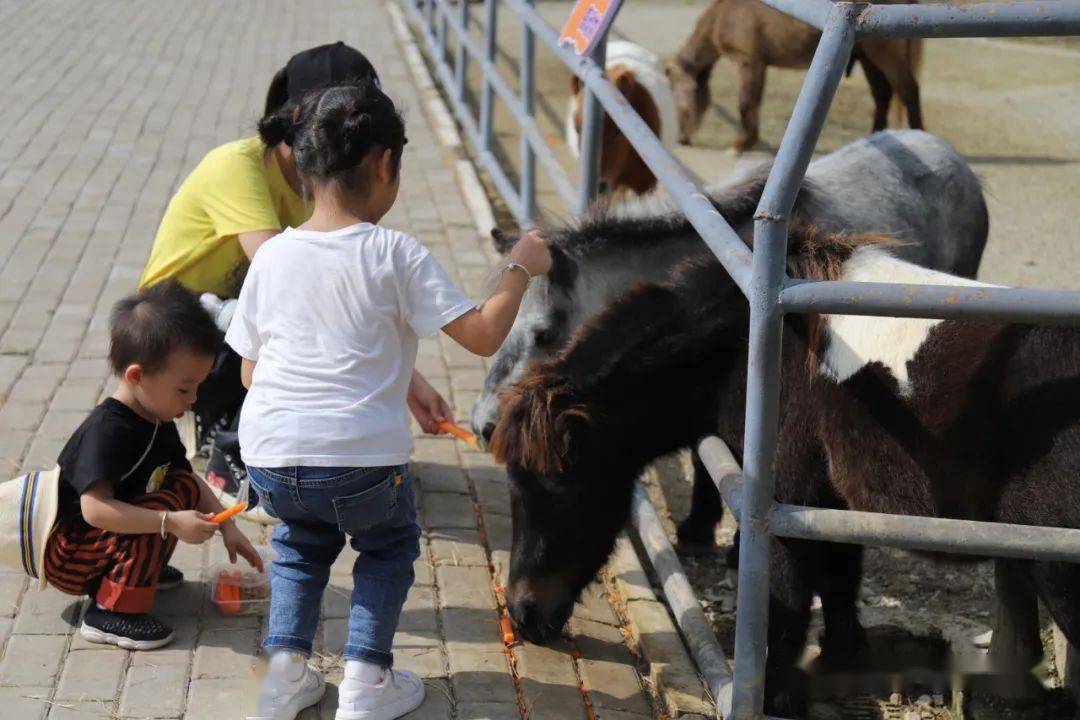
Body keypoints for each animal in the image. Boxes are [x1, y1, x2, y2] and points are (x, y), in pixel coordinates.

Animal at [490, 225, 1080, 716]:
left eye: (558, 483)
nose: (522, 613)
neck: (755, 348)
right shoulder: (830, 502)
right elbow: (840, 584)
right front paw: (841, 664)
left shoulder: (785, 501)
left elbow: (791, 603)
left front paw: (777, 696)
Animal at [669, 0, 924, 151]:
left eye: (681, 101)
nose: (681, 138)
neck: (724, 15)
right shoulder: (759, 66)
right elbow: (754, 102)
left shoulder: (749, 63)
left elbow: (746, 102)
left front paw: (741, 143)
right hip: (868, 58)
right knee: (882, 95)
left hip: (883, 51)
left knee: (908, 90)